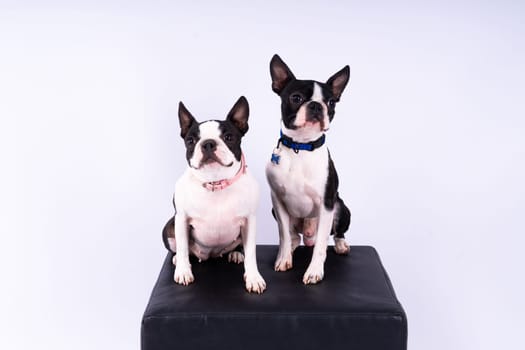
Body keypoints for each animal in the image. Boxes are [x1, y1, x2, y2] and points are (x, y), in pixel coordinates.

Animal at [162, 95, 266, 292]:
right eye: (190, 141)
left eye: (228, 137)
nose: (208, 143)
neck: (215, 182)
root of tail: (211, 255)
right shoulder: (181, 218)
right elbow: (183, 247)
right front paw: (183, 271)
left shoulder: (249, 220)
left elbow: (251, 253)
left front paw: (254, 278)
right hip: (169, 227)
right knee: (181, 248)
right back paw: (177, 259)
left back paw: (235, 254)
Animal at [266, 54, 352, 284]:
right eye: (296, 98)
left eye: (330, 102)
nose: (315, 105)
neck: (301, 147)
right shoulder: (278, 201)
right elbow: (284, 235)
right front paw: (284, 259)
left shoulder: (327, 204)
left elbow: (321, 245)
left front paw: (314, 271)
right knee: (293, 236)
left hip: (341, 208)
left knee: (336, 233)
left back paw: (341, 244)